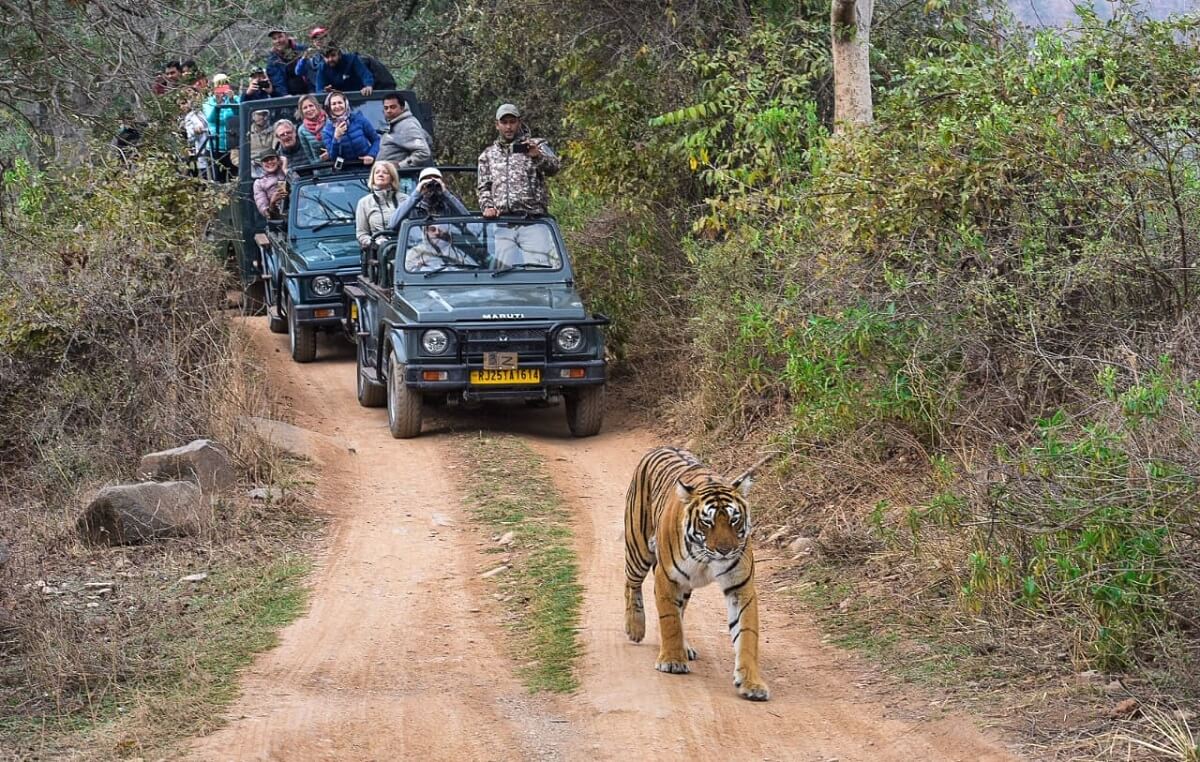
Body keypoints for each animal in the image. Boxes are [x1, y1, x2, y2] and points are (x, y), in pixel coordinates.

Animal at [624, 446, 772, 705]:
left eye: (734, 519)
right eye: (707, 522)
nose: (725, 550)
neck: (707, 559)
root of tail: (661, 447)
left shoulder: (740, 587)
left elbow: (747, 634)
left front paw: (752, 683)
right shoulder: (667, 577)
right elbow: (670, 620)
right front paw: (672, 661)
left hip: (684, 585)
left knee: (680, 609)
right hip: (638, 548)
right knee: (630, 584)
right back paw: (634, 627)